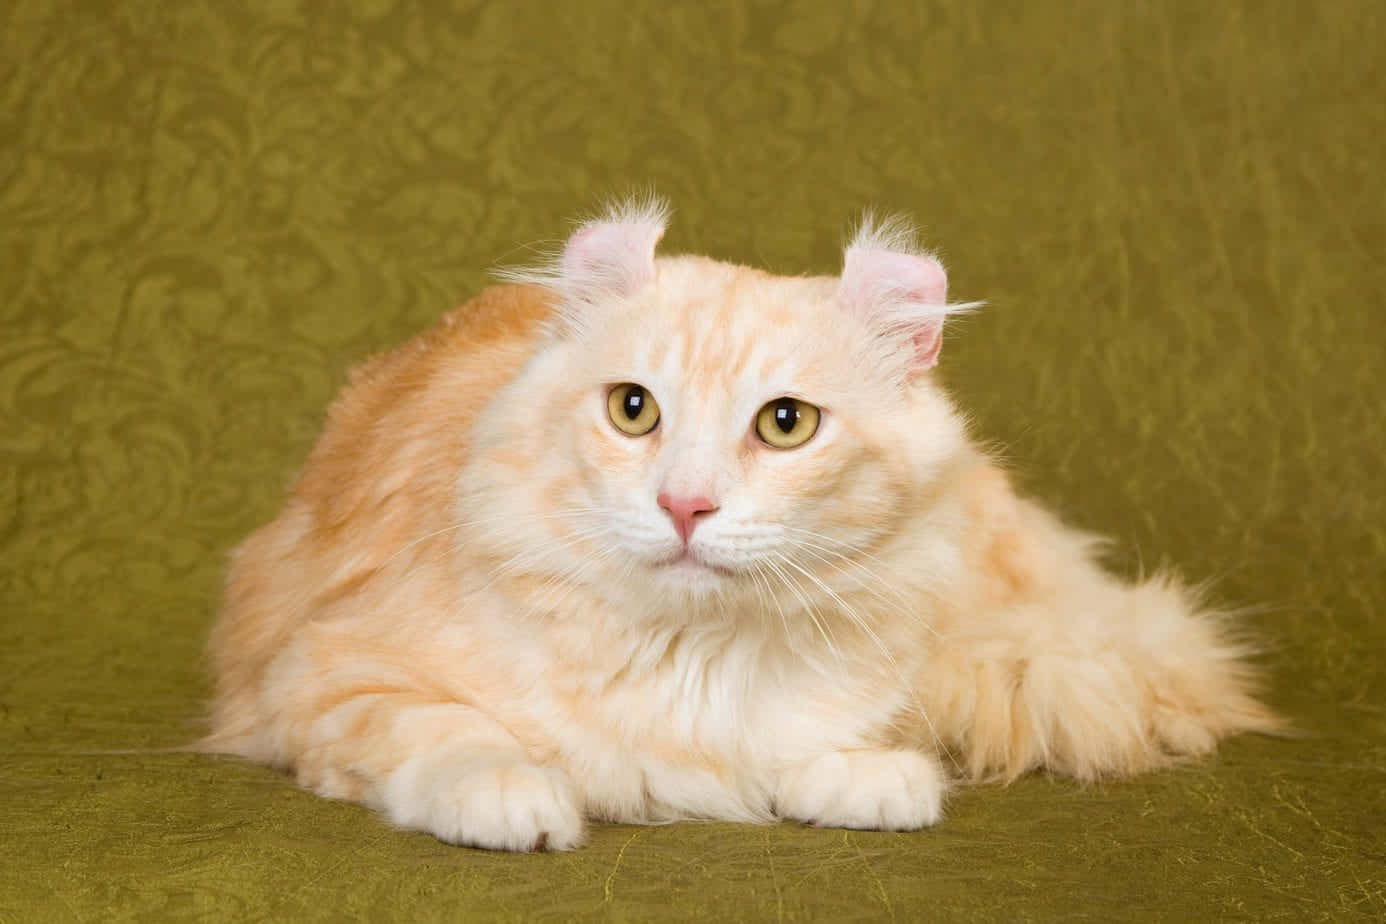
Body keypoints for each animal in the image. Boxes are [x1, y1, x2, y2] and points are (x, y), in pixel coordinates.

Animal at [202, 200, 1275, 853]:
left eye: (786, 424)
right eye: (633, 410)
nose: (685, 504)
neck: (696, 655)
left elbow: (843, 746)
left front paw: (868, 779)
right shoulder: (317, 676)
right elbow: (449, 729)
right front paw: (515, 797)